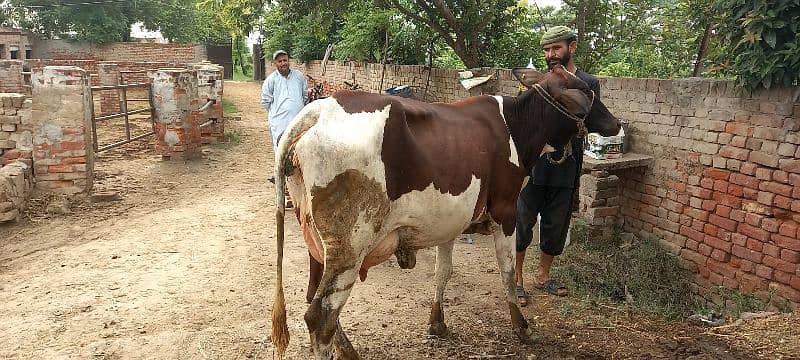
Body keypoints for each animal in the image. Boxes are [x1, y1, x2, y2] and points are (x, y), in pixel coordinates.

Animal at [268, 65, 620, 360]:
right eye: (586, 90)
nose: (616, 124)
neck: (516, 128)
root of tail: (317, 110)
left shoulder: (450, 220)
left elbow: (443, 272)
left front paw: (437, 322)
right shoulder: (506, 212)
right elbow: (507, 271)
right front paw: (522, 326)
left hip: (318, 241)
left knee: (316, 299)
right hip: (350, 246)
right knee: (320, 316)